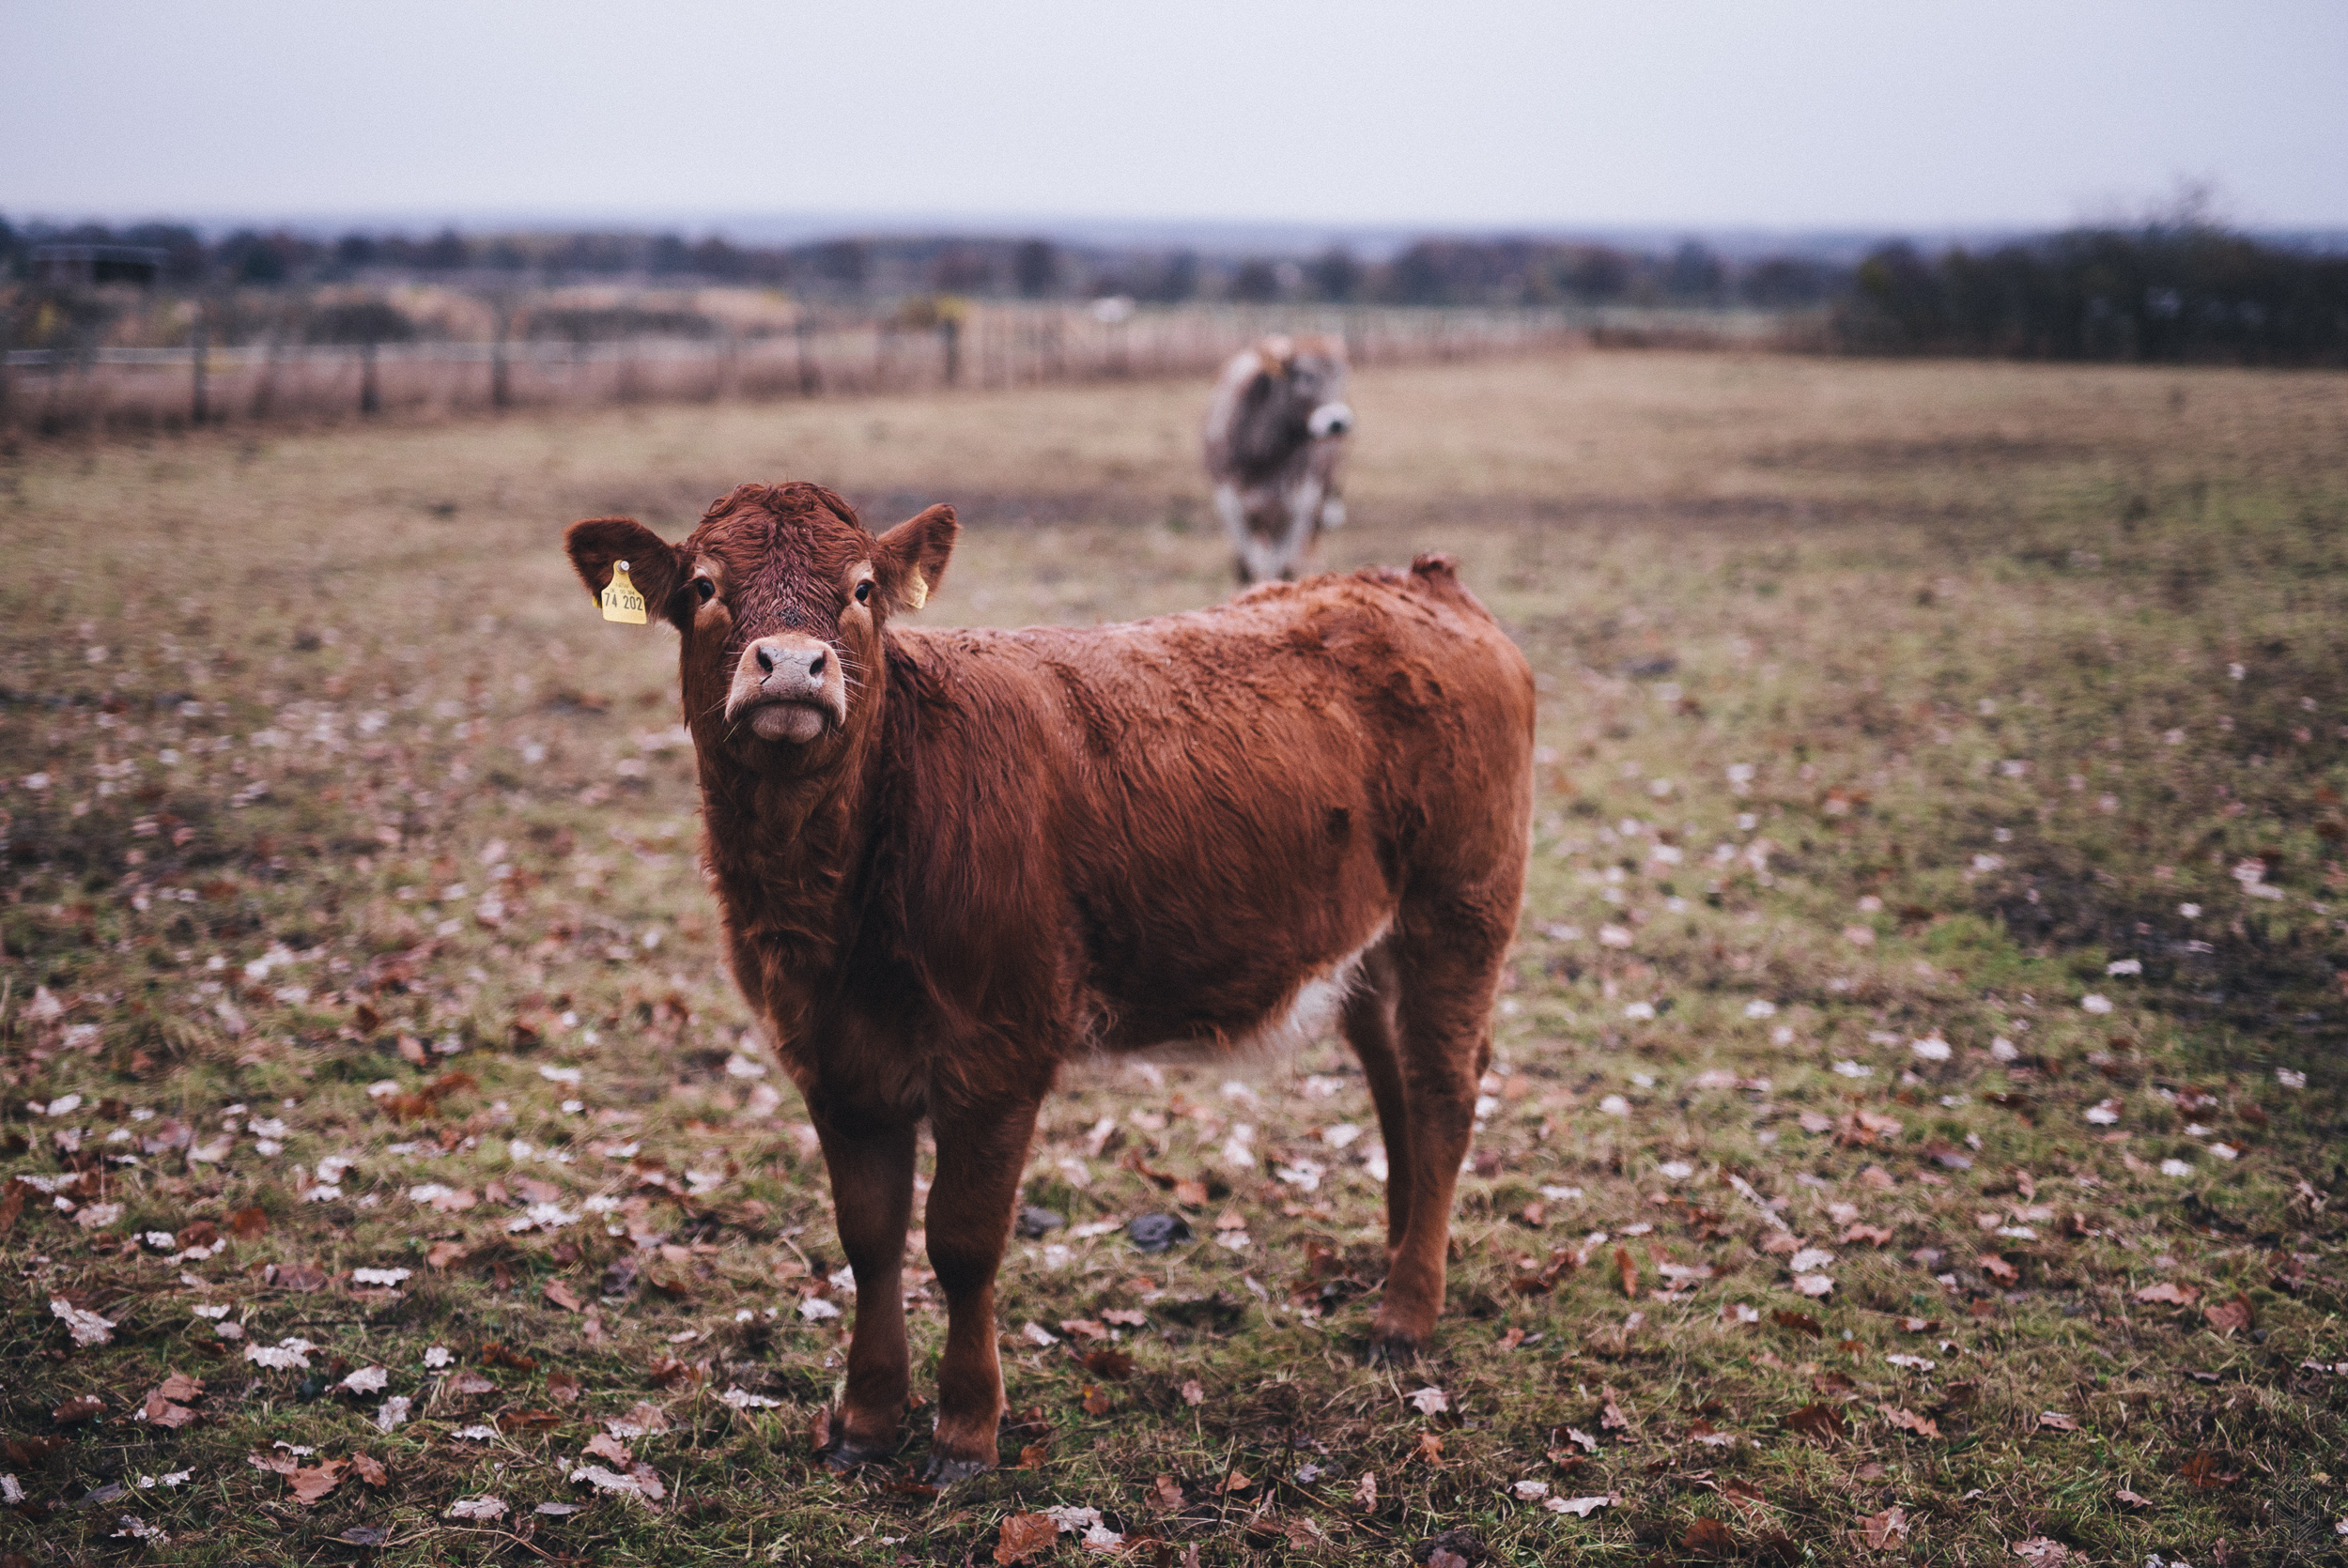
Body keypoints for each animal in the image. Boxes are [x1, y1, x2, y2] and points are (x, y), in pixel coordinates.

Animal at [561, 484, 1531, 1493]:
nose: (792, 664)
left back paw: (1406, 1313)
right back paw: (1399, 1255)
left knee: (1444, 1091)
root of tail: (1419, 582)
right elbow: (868, 1237)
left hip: (1461, 906)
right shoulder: (831, 1060)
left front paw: (964, 1430)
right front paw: (865, 1419)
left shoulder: (1000, 1051)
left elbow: (960, 1240)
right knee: (1394, 1079)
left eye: (862, 588)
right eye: (705, 586)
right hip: (1371, 943)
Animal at [1202, 333, 1352, 584]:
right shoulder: (1231, 505)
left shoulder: (1298, 506)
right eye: (1304, 375)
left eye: (1341, 375)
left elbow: (1283, 568)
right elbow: (1247, 567)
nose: (1338, 422)